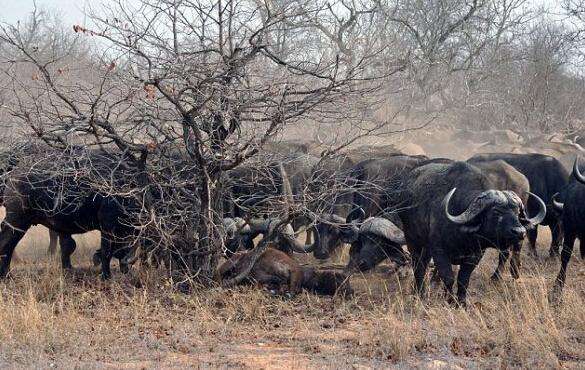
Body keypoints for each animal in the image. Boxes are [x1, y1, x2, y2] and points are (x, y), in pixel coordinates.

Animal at [400, 161, 544, 304]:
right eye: (496, 212)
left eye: (517, 212)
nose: (520, 231)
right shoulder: (439, 251)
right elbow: (448, 278)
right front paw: (449, 299)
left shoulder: (476, 255)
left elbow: (463, 279)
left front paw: (461, 302)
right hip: (412, 240)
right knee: (418, 267)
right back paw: (419, 292)